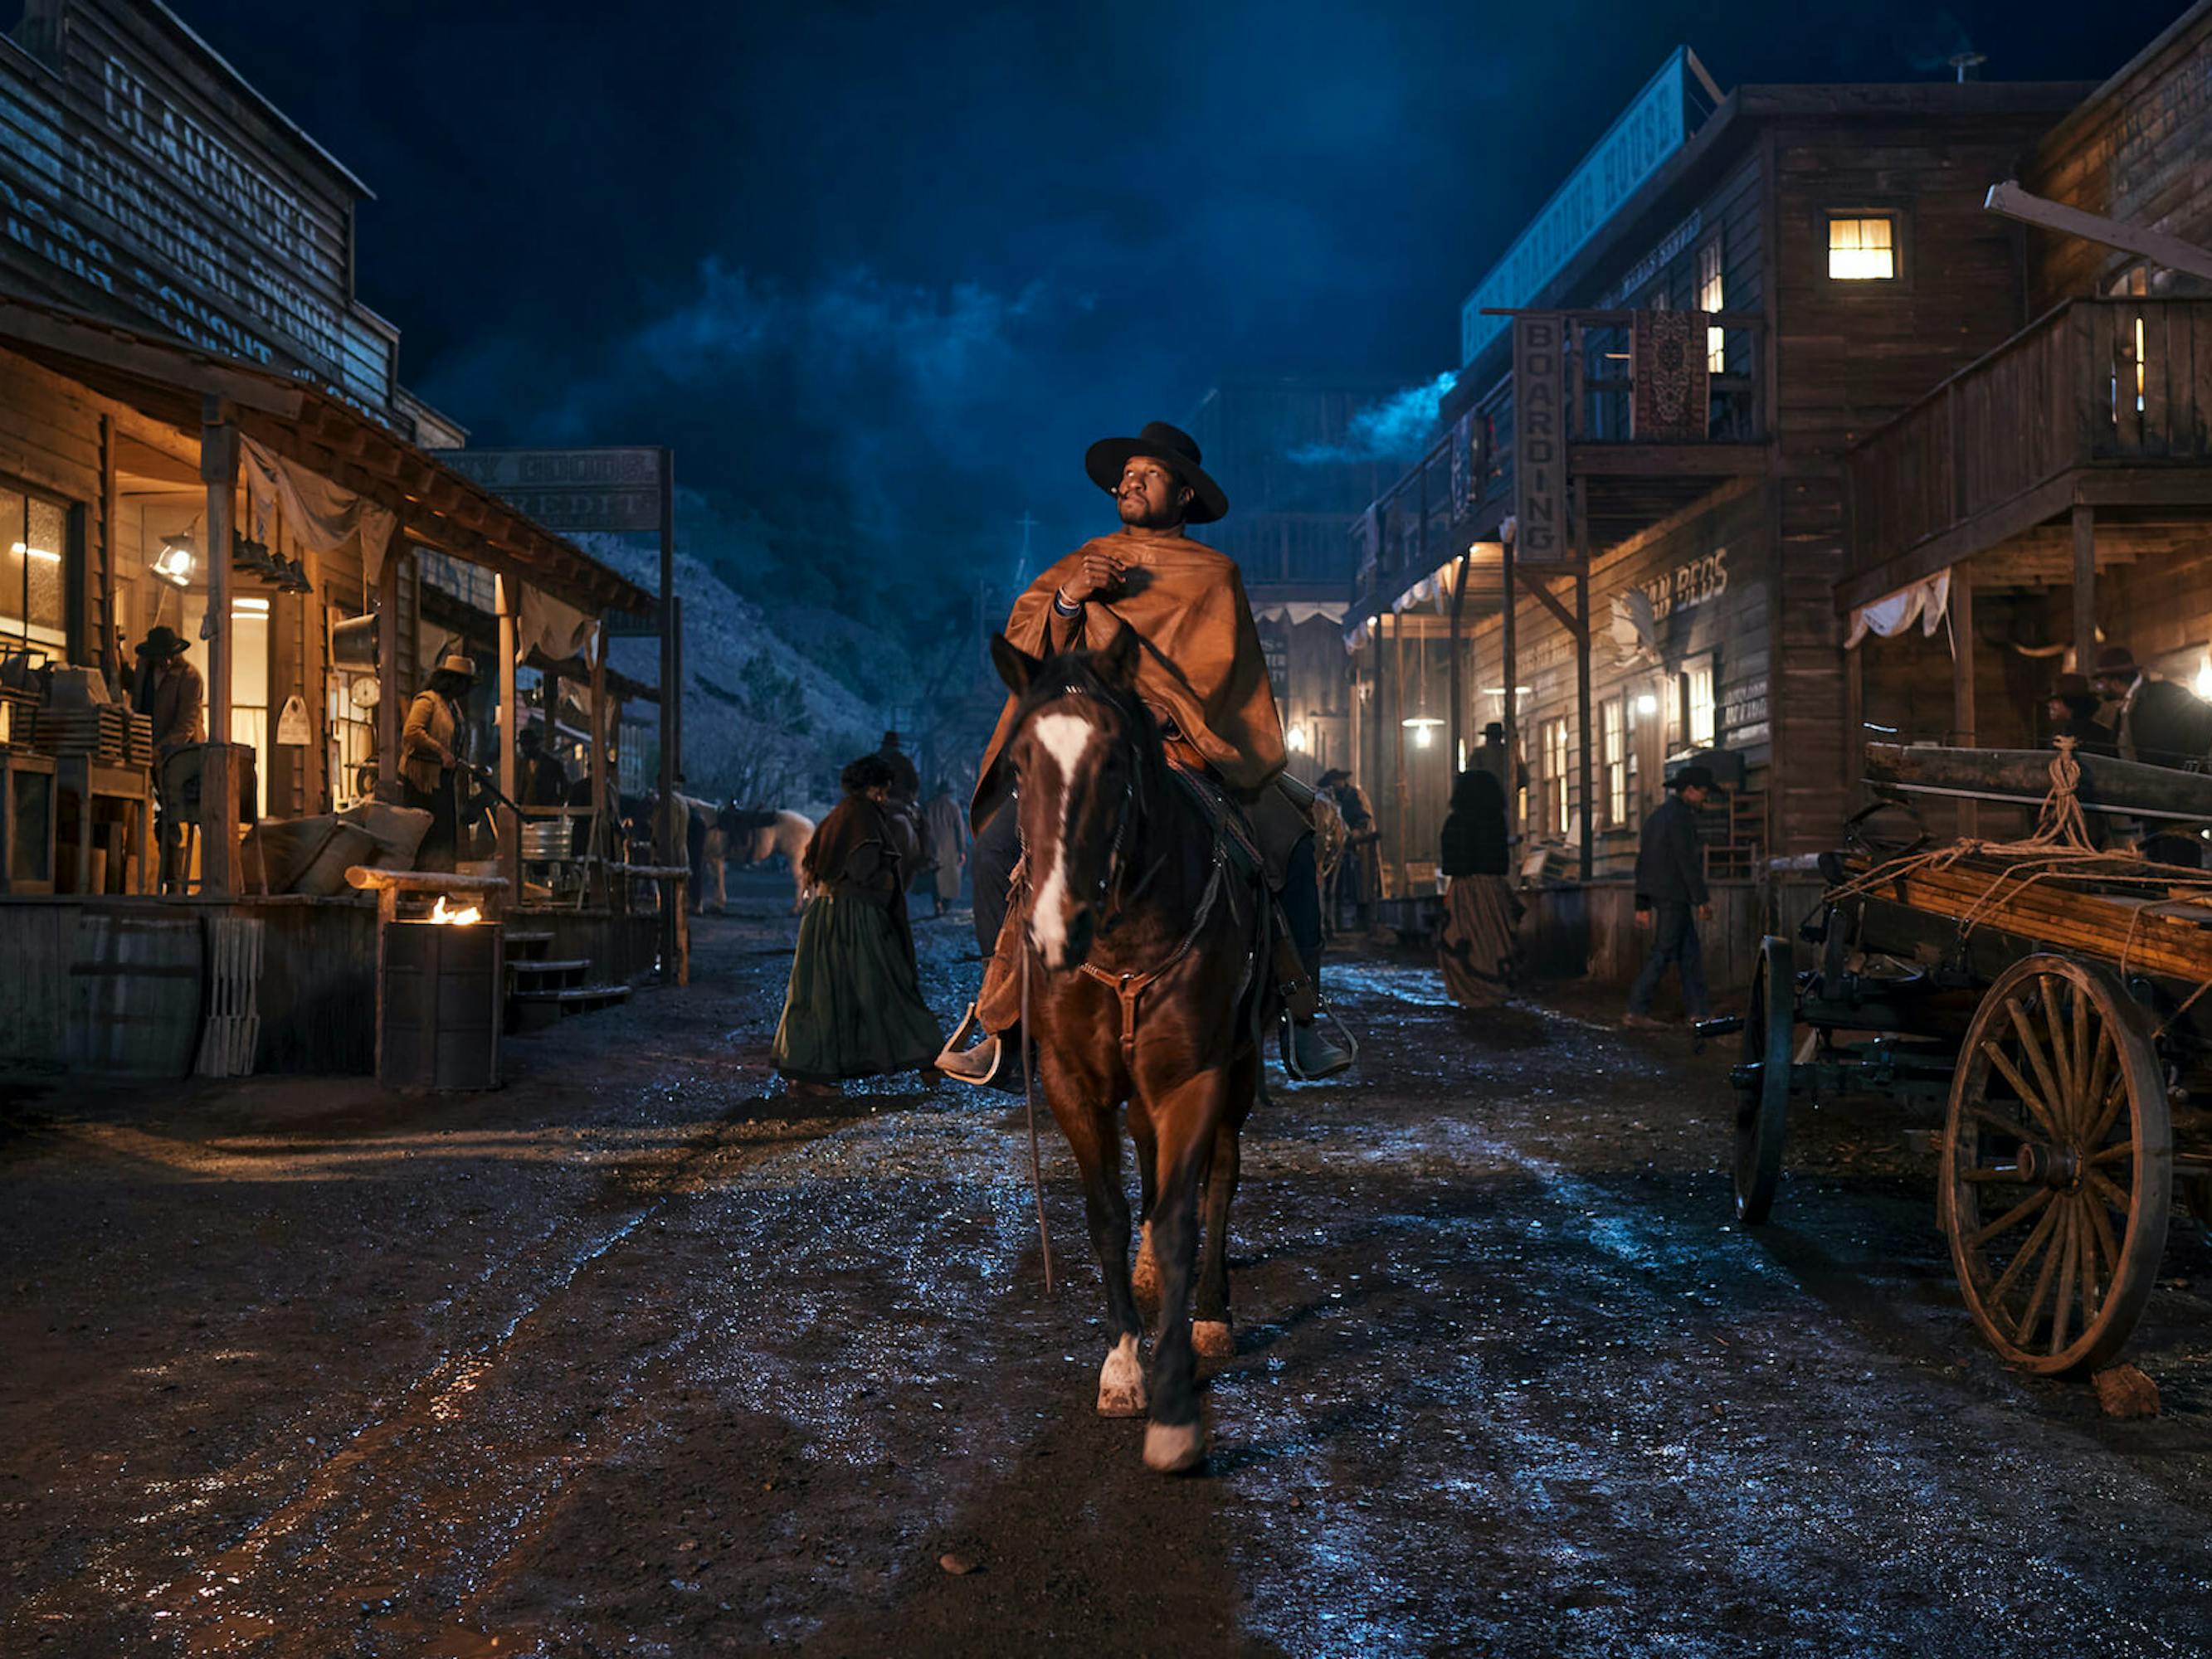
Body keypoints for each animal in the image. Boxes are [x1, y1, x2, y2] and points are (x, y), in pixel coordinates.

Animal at [991, 628, 1264, 1477]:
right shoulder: (1071, 1082)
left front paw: (1175, 1408)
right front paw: (1121, 1365)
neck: (1120, 944)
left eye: (1114, 762)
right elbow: (1108, 1215)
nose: (1056, 930)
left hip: (1240, 1073)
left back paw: (1211, 1311)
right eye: (1020, 765)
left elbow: (1181, 1217)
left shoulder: (1193, 1078)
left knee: (1221, 1178)